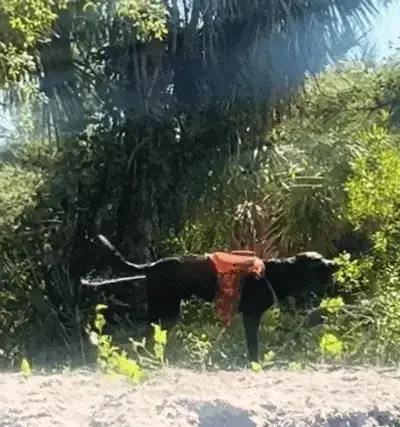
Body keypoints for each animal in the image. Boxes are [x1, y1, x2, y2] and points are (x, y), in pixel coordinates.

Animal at [81, 235, 339, 362]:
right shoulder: (251, 317)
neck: (280, 273)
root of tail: (152, 267)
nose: (335, 263)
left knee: (150, 336)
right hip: (166, 311)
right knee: (148, 335)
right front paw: (254, 364)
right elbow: (253, 346)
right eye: (320, 262)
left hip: (165, 313)